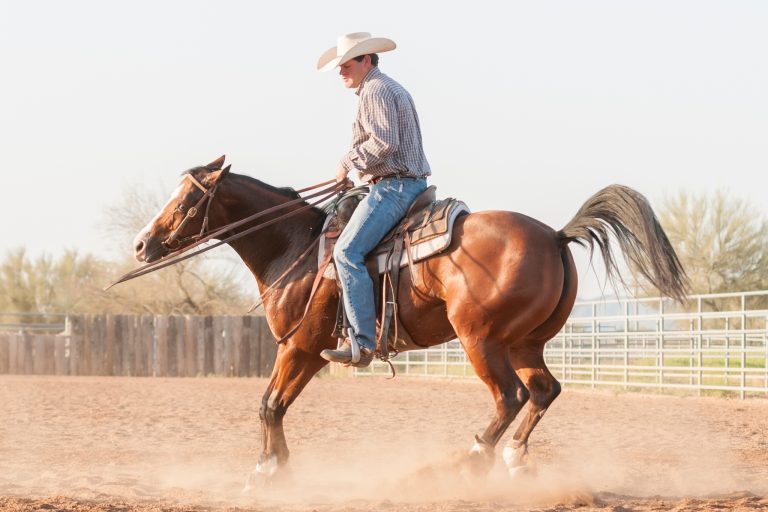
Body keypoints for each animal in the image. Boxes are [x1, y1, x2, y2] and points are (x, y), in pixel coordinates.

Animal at [131, 156, 687, 482]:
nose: (141, 244)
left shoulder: (301, 346)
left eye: (185, 199)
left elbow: (269, 405)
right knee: (543, 391)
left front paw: (267, 470)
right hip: (524, 343)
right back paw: (512, 459)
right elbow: (274, 405)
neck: (295, 245)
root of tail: (553, 235)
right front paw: (275, 465)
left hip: (481, 340)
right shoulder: (308, 352)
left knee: (510, 396)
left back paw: (470, 460)